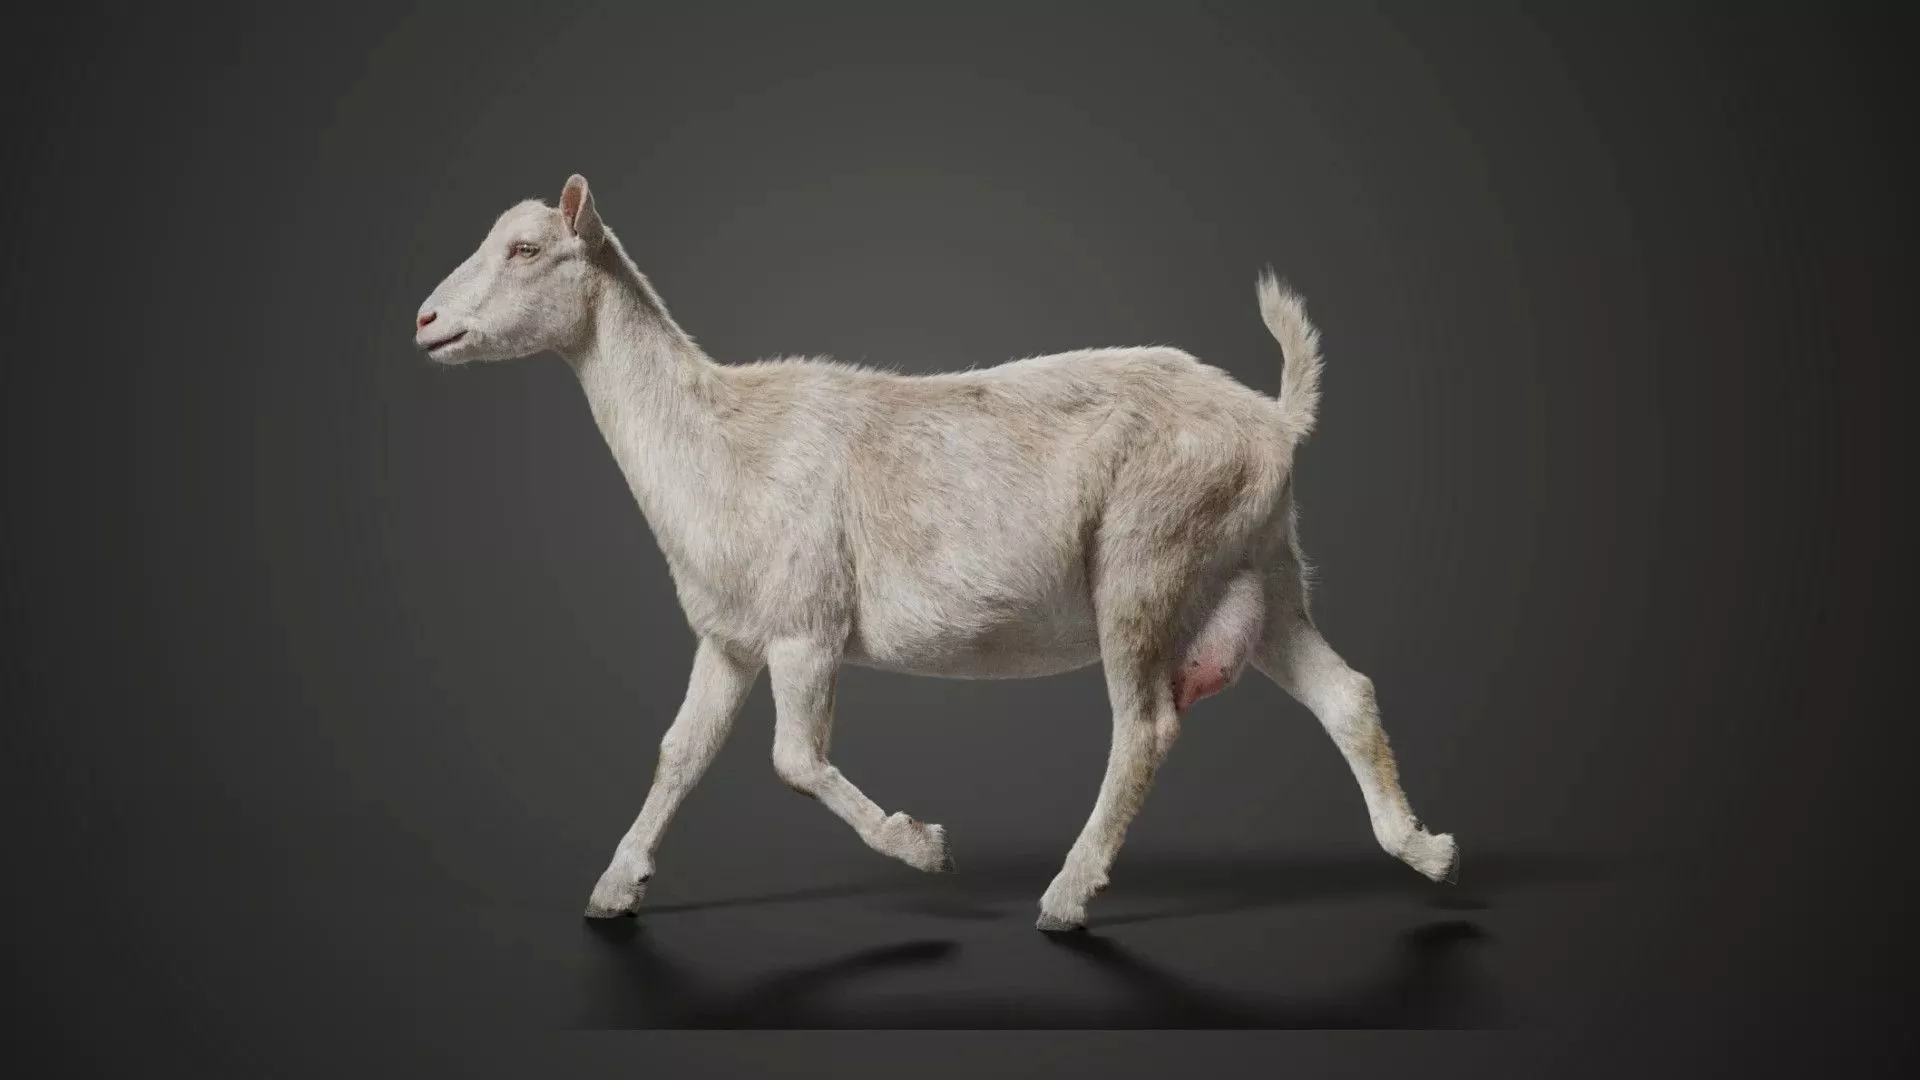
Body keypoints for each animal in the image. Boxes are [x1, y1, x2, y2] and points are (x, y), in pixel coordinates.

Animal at [413, 174, 1458, 932]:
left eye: (526, 248)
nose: (425, 322)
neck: (719, 437)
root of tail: (1276, 418)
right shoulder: (730, 638)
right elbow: (680, 754)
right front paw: (616, 887)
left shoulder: (805, 628)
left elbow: (794, 758)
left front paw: (923, 846)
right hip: (1258, 572)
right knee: (1347, 695)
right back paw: (1425, 849)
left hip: (1147, 562)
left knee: (1146, 728)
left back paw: (1067, 898)